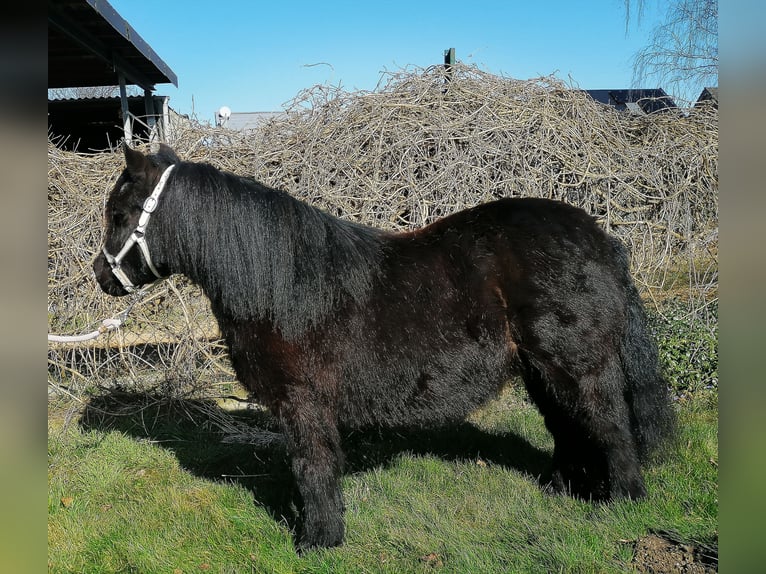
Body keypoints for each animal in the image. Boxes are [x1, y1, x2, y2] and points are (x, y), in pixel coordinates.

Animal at [93, 144, 676, 552]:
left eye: (120, 214)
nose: (102, 276)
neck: (280, 282)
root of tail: (602, 239)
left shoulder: (302, 402)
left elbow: (312, 466)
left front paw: (318, 539)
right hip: (539, 369)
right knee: (567, 427)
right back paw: (559, 490)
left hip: (578, 365)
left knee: (608, 423)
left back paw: (622, 500)